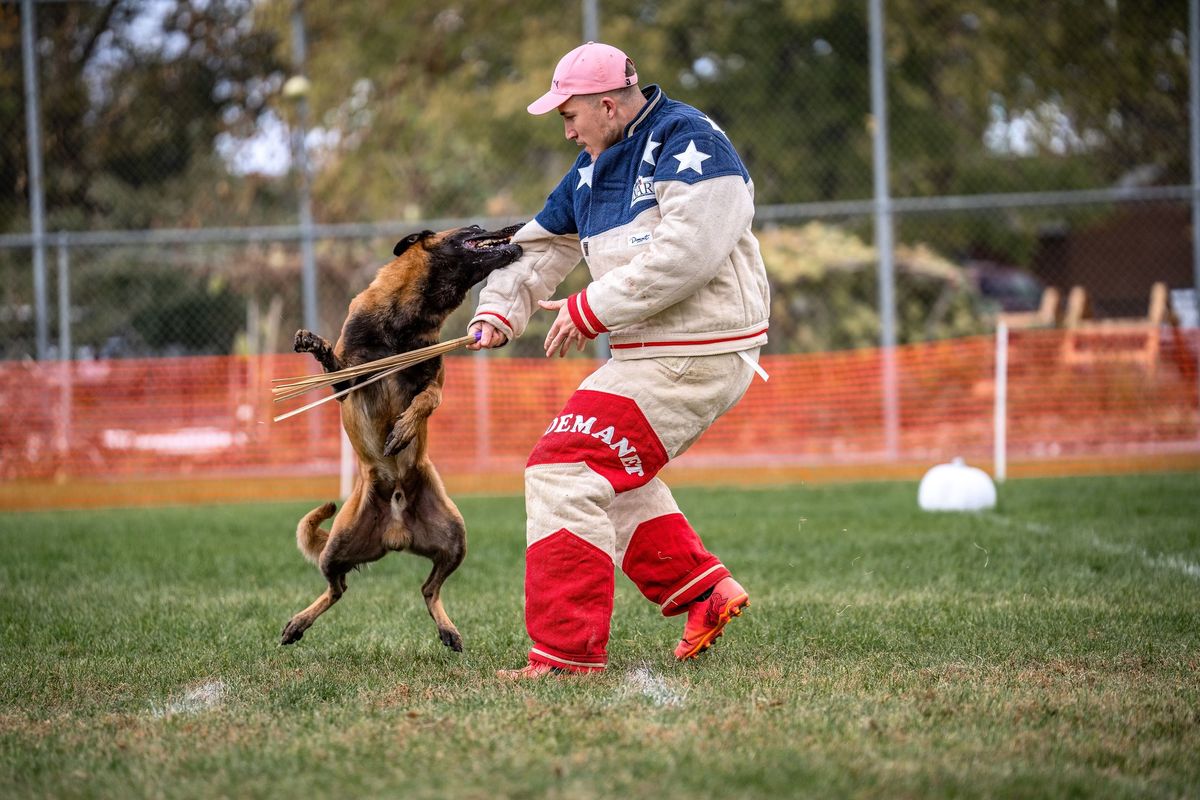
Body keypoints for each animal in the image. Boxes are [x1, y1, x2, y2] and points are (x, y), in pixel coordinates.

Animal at [283, 221, 528, 652]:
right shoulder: (346, 385)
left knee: (427, 589)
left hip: (455, 538)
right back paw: (298, 622)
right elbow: (336, 367)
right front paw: (316, 345)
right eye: (474, 228)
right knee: (337, 587)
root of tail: (396, 532)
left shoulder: (434, 381)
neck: (406, 320)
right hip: (337, 545)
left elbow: (426, 399)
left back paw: (448, 629)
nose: (515, 226)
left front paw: (402, 430)